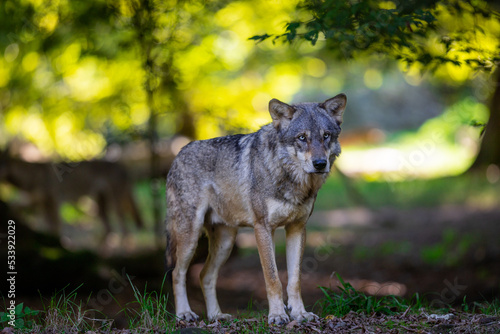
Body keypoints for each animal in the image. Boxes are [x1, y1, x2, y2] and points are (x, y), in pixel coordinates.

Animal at [0, 155, 145, 241]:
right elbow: (17, 207)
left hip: (115, 204)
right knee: (110, 228)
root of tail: (122, 166)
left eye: (3, 164)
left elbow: (56, 226)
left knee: (125, 227)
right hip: (101, 205)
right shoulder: (38, 203)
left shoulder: (53, 202)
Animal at [166, 93, 346, 324]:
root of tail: (177, 156)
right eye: (302, 138)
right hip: (191, 237)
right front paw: (277, 315)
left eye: (326, 136)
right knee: (177, 273)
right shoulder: (262, 228)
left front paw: (300, 314)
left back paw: (216, 316)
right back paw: (184, 314)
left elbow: (294, 280)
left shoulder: (297, 229)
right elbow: (273, 278)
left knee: (204, 275)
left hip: (226, 242)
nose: (320, 163)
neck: (289, 178)